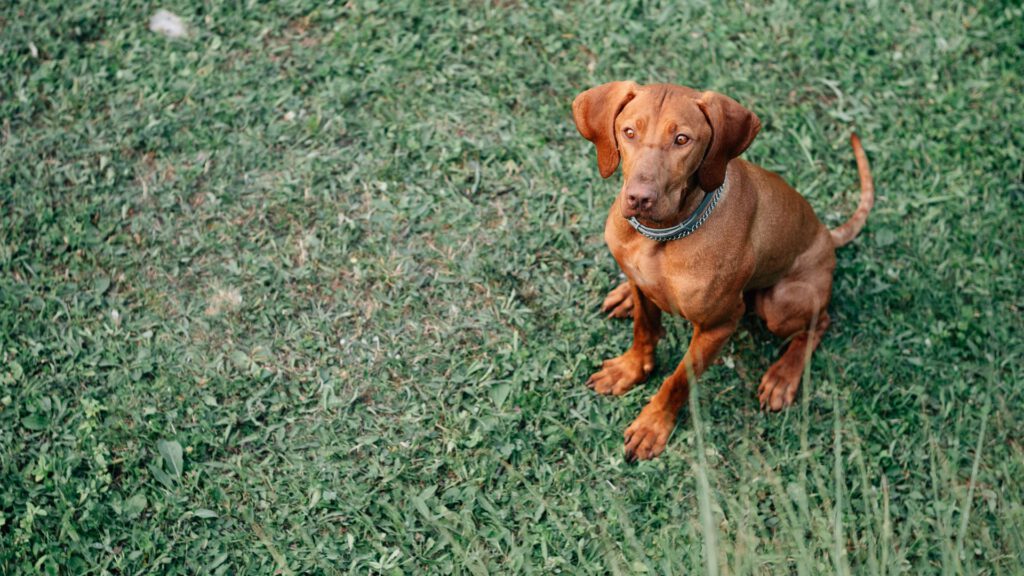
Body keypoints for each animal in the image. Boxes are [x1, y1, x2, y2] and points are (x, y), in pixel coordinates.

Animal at [569, 80, 872, 459]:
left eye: (682, 139)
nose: (640, 198)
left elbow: (678, 380)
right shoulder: (639, 281)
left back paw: (783, 377)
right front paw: (630, 369)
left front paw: (653, 424)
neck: (663, 236)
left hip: (778, 305)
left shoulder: (718, 326)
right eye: (629, 132)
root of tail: (827, 236)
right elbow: (644, 330)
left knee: (820, 322)